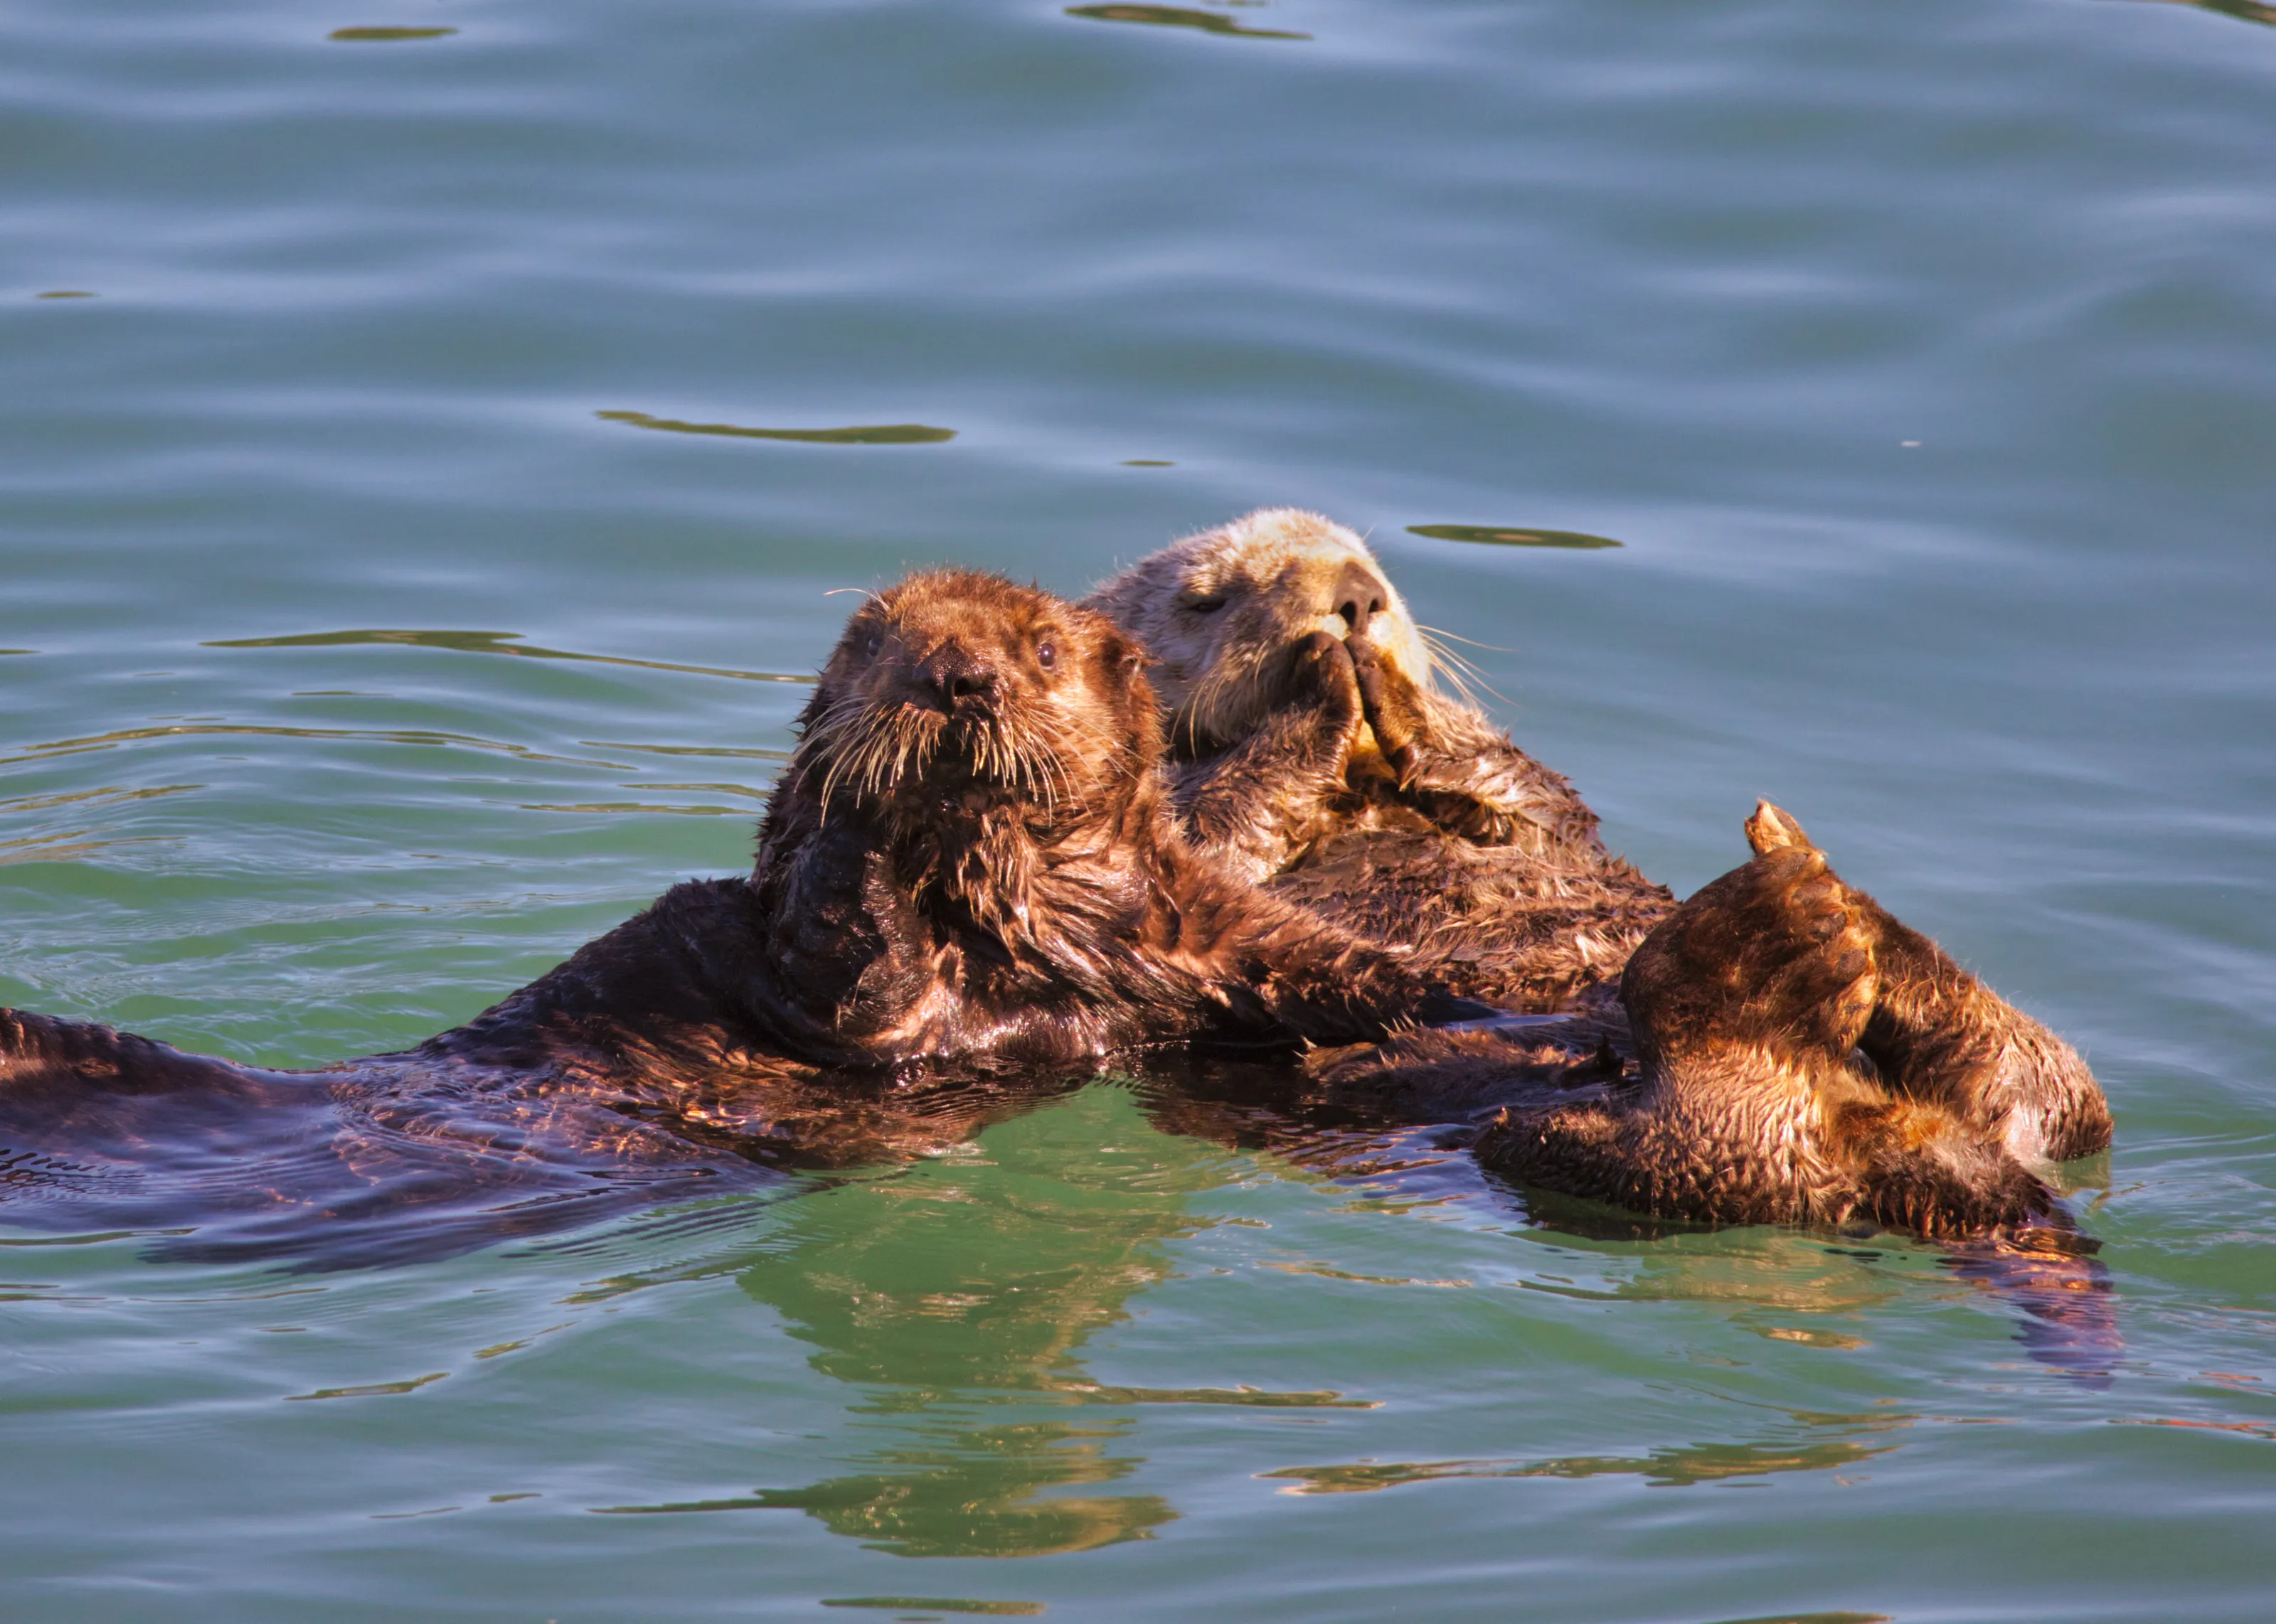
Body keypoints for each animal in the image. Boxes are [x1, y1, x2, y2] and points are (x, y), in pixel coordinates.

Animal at [0, 570, 1470, 1264]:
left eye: (1045, 651)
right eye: (882, 647)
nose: (956, 677)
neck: (1010, 925)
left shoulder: (1177, 927)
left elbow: (1295, 951)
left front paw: (1447, 990)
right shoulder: (840, 982)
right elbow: (848, 967)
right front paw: (863, 826)